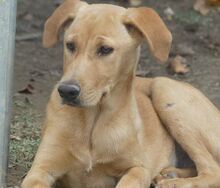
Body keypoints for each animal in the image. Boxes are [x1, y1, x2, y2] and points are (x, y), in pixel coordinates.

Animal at [21, 0, 220, 187]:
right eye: (70, 45)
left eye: (105, 49)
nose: (66, 91)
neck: (94, 120)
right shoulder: (40, 169)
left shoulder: (138, 168)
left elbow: (128, 181)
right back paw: (171, 174)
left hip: (164, 90)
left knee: (212, 170)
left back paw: (174, 182)